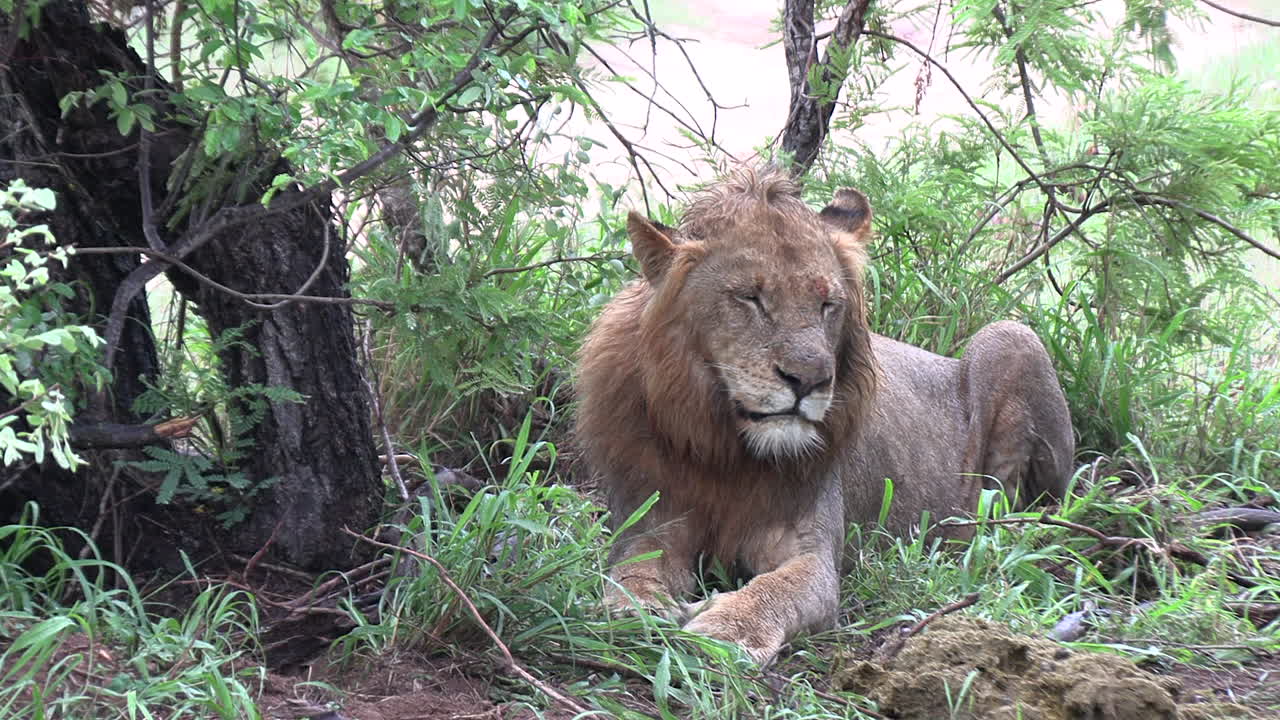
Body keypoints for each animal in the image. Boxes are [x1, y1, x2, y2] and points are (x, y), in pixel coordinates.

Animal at [575, 166, 1074, 664]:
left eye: (827, 304)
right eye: (750, 298)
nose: (809, 379)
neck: (728, 452)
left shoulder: (814, 554)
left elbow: (778, 588)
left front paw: (724, 628)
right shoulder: (652, 519)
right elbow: (631, 568)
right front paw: (632, 608)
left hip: (1009, 337)